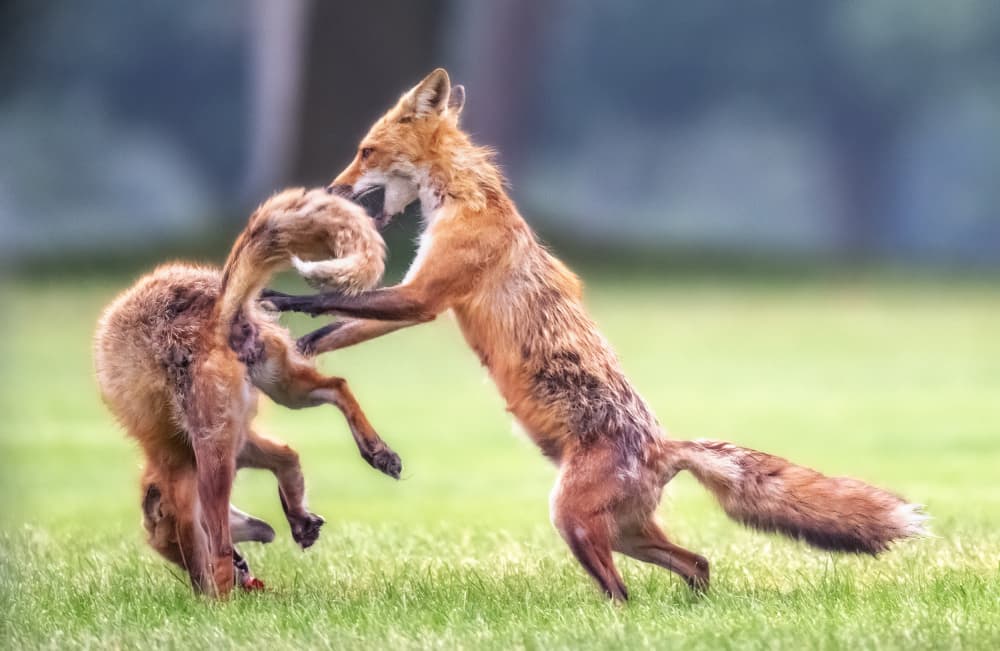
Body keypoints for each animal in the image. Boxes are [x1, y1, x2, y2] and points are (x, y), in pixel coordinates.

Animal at [94, 187, 401, 597]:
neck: (164, 452)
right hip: (285, 390)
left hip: (213, 456)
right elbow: (289, 458)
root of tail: (215, 308)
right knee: (337, 385)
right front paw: (299, 518)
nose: (196, 587)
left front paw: (210, 591)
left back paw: (222, 599)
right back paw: (378, 451)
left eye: (175, 551)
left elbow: (211, 542)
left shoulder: (195, 474)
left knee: (221, 542)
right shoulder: (245, 444)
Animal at [263, 69, 928, 600]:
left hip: (574, 522)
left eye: (365, 151)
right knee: (698, 563)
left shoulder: (426, 296)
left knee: (624, 593)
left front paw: (282, 300)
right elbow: (337, 331)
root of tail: (663, 447)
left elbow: (334, 300)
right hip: (627, 532)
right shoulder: (418, 301)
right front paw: (300, 354)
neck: (463, 197)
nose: (332, 190)